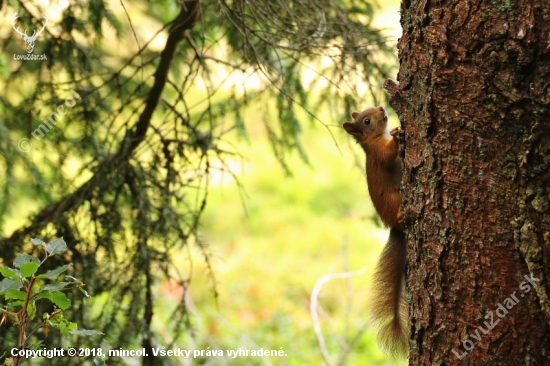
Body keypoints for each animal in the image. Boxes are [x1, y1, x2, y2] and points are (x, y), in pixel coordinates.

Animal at [344, 106, 410, 358]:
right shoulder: (378, 154)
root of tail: (394, 227)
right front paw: (398, 133)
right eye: (366, 120)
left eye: (371, 109)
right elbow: (388, 154)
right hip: (394, 199)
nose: (382, 107)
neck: (377, 137)